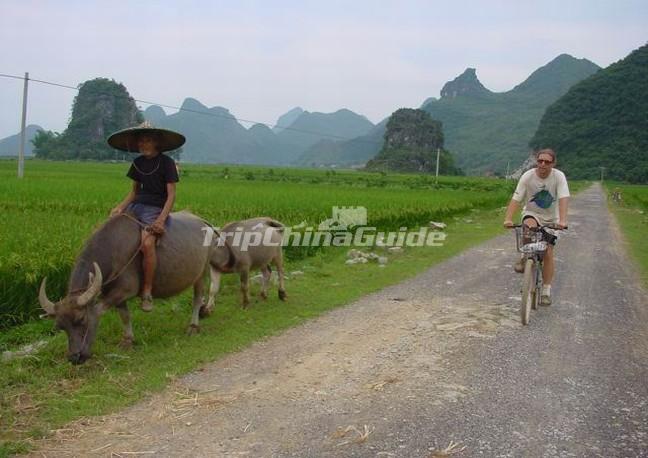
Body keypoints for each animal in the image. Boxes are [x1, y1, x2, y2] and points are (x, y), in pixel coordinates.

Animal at [38, 211, 215, 364]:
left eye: (81, 319)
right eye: (60, 326)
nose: (75, 357)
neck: (112, 250)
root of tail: (203, 221)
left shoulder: (124, 290)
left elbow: (100, 309)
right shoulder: (116, 293)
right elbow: (125, 316)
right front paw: (127, 340)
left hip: (201, 273)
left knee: (197, 298)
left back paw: (193, 326)